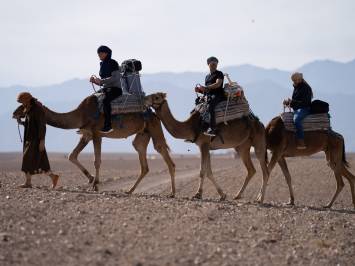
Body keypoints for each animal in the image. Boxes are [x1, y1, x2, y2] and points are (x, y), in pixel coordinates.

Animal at [12, 94, 177, 194]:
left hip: (154, 127)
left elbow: (97, 161)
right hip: (143, 134)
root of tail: (154, 114)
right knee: (142, 158)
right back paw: (130, 190)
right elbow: (72, 155)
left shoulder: (97, 133)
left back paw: (173, 193)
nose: (14, 113)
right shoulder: (87, 134)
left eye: (24, 107)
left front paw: (95, 184)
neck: (81, 114)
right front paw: (91, 179)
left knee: (162, 151)